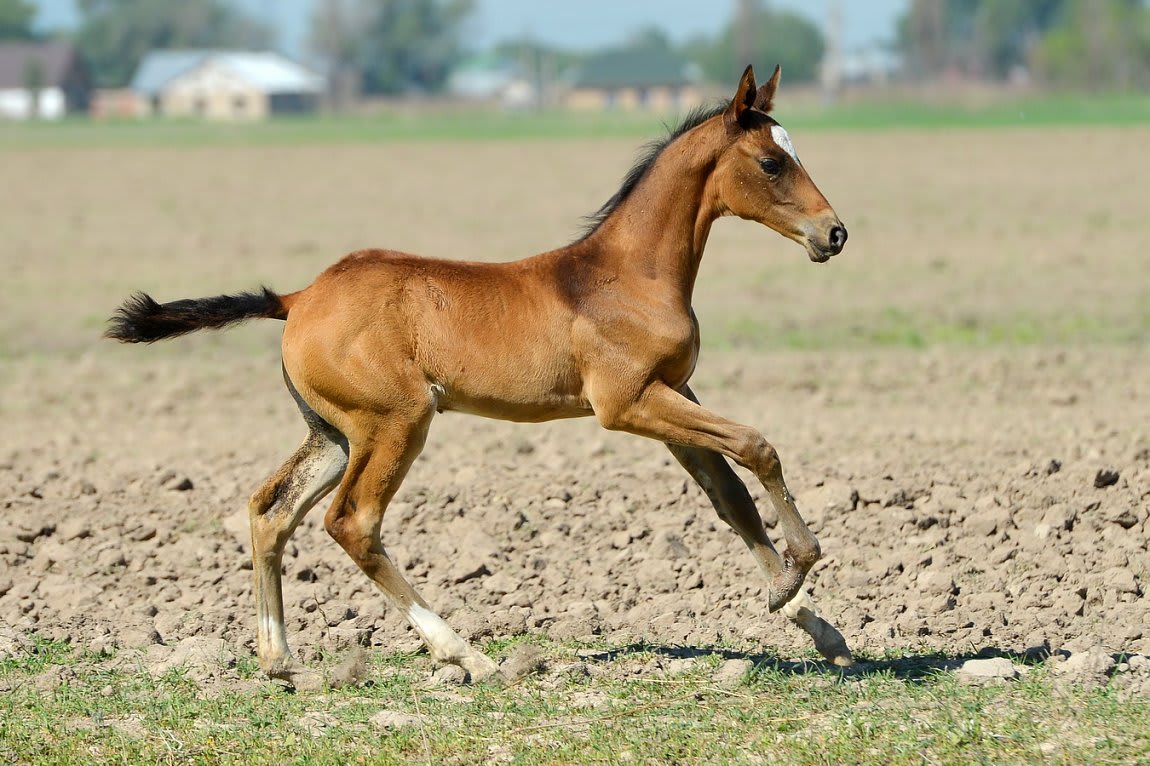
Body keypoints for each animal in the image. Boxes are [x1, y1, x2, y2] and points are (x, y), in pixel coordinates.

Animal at [106, 65, 852, 687]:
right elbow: (758, 445)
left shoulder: (673, 395)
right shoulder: (628, 404)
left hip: (335, 434)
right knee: (352, 523)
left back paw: (284, 662)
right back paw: (466, 655)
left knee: (271, 510)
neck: (626, 273)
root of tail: (299, 297)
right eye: (772, 162)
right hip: (396, 422)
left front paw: (815, 623)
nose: (834, 234)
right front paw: (799, 569)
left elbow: (730, 498)